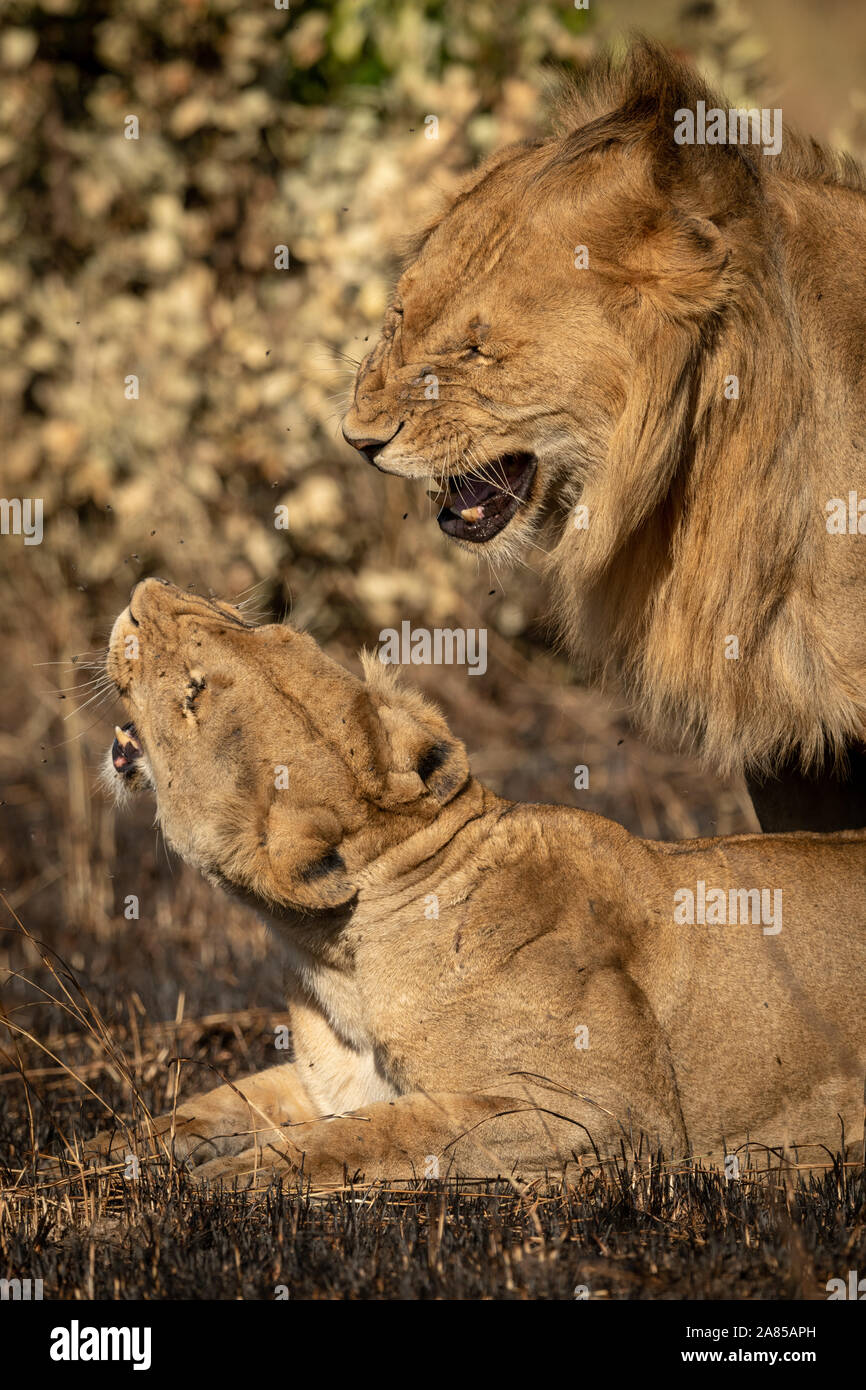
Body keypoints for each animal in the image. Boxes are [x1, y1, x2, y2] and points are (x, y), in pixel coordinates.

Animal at [88, 578, 866, 1189]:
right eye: (256, 625)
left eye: (193, 694)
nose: (139, 596)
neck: (340, 959)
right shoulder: (322, 1079)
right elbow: (219, 1103)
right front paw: (99, 1155)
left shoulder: (608, 1116)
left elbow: (380, 1132)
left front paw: (224, 1180)